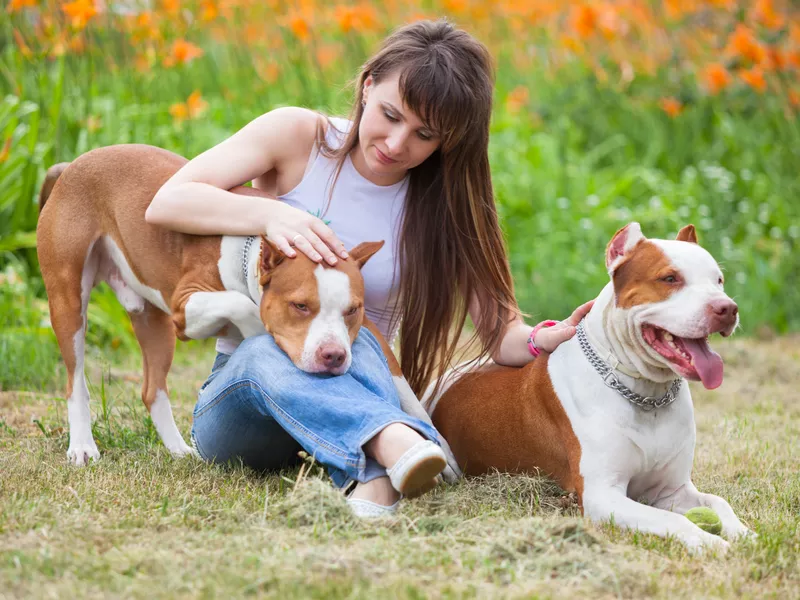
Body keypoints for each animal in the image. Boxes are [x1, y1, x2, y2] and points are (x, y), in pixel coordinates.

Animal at [37, 145, 456, 474]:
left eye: (351, 310)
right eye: (300, 305)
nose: (334, 355)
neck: (253, 252)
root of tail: (72, 165)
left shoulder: (369, 327)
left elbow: (404, 387)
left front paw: (445, 451)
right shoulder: (185, 307)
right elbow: (240, 303)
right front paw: (256, 331)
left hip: (150, 318)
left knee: (152, 388)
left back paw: (180, 450)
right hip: (69, 300)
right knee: (76, 380)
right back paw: (83, 447)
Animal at [428, 223, 752, 552]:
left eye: (719, 280)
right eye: (670, 278)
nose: (727, 308)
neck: (646, 394)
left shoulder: (671, 489)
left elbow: (718, 501)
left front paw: (742, 532)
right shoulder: (602, 495)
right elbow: (673, 519)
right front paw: (709, 542)